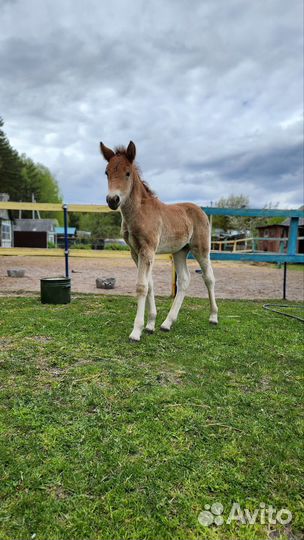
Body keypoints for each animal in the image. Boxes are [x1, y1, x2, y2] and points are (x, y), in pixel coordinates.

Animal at [100, 139, 218, 342]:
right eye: (107, 172)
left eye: (127, 173)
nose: (112, 200)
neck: (139, 213)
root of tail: (200, 210)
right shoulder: (136, 252)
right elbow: (150, 285)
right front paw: (150, 324)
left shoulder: (147, 249)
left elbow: (141, 286)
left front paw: (136, 331)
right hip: (179, 251)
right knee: (184, 280)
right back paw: (167, 323)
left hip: (201, 249)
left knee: (209, 278)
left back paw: (213, 317)